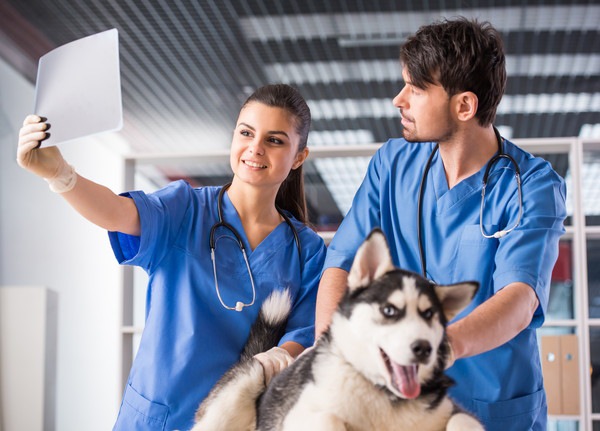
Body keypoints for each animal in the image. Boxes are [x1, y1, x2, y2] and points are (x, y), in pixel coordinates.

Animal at [192, 230, 482, 431]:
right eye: (389, 310)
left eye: (429, 315)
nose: (423, 348)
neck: (384, 396)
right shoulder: (298, 416)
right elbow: (329, 418)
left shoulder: (453, 412)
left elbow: (463, 422)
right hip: (240, 389)